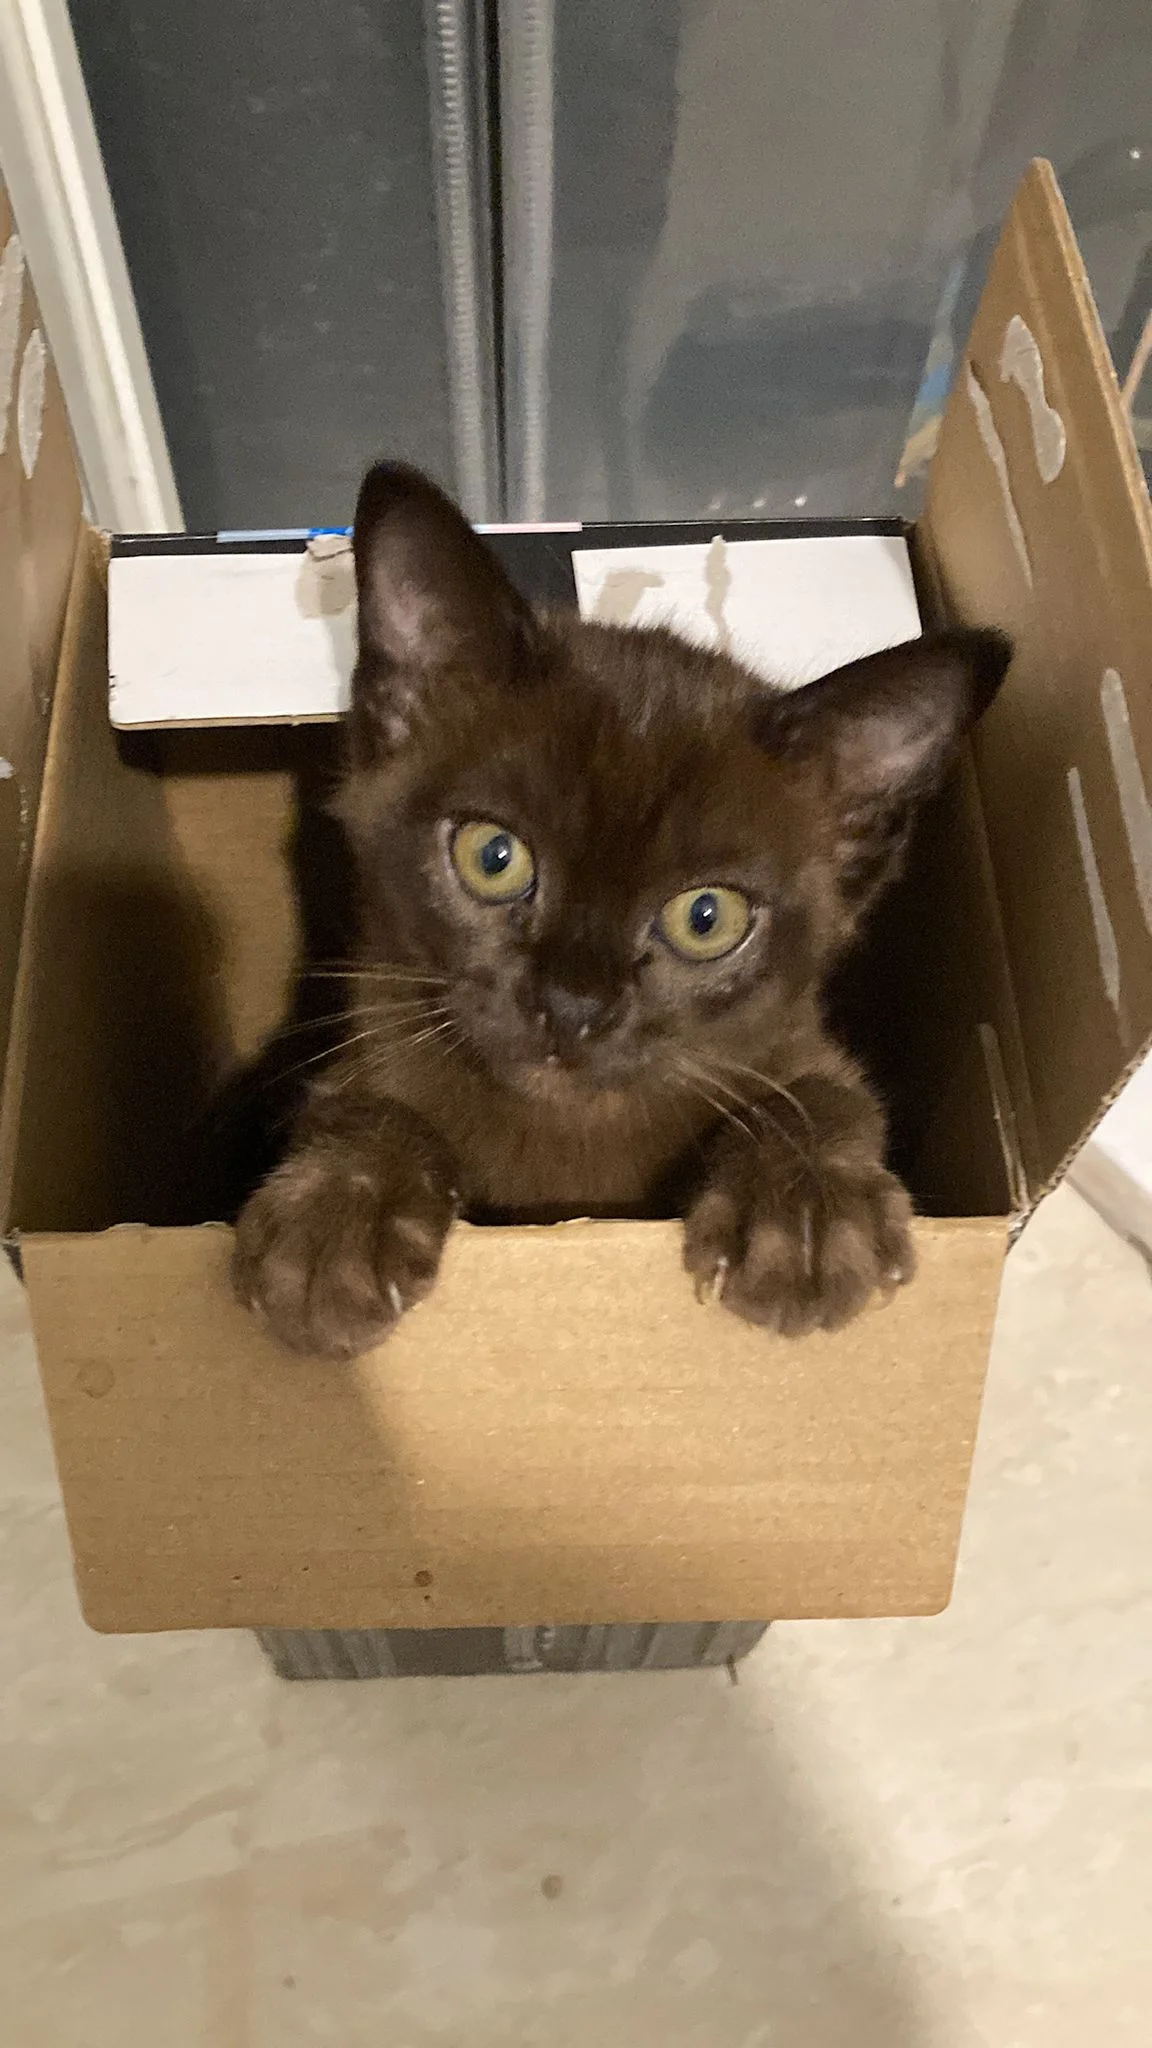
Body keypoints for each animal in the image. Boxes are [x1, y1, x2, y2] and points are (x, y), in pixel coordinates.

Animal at [233, 464, 1004, 1359]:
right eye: (494, 858)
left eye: (706, 918)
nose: (573, 1006)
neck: (568, 1142)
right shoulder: (367, 1032)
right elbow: (362, 1099)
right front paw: (336, 1223)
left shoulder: (799, 1049)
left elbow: (828, 1094)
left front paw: (806, 1217)